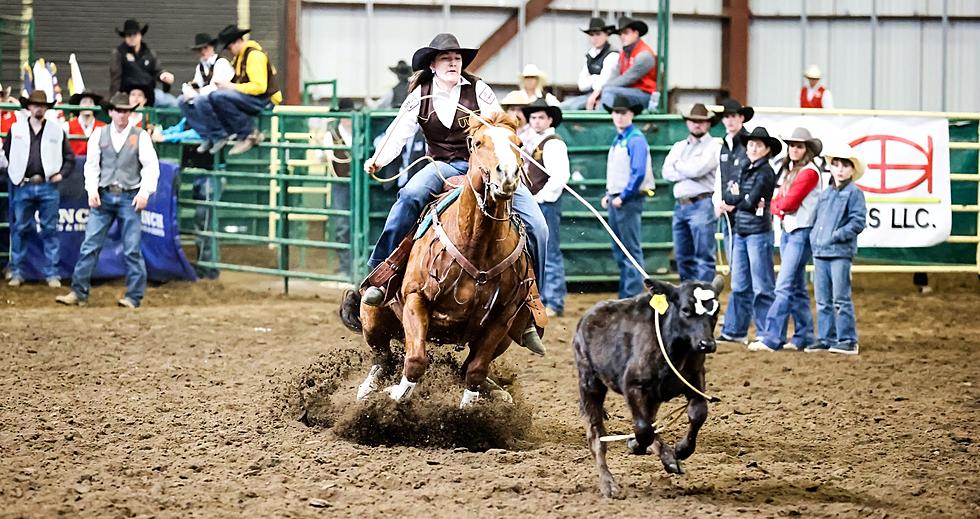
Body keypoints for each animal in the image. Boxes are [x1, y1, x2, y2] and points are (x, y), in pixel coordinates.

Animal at [354, 112, 532, 406]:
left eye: (519, 144)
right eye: (479, 142)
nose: (507, 174)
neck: (476, 245)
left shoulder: (503, 316)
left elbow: (475, 371)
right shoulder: (415, 299)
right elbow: (415, 360)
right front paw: (395, 396)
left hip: (508, 335)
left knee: (468, 367)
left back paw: (497, 391)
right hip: (372, 317)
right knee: (383, 357)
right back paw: (368, 389)